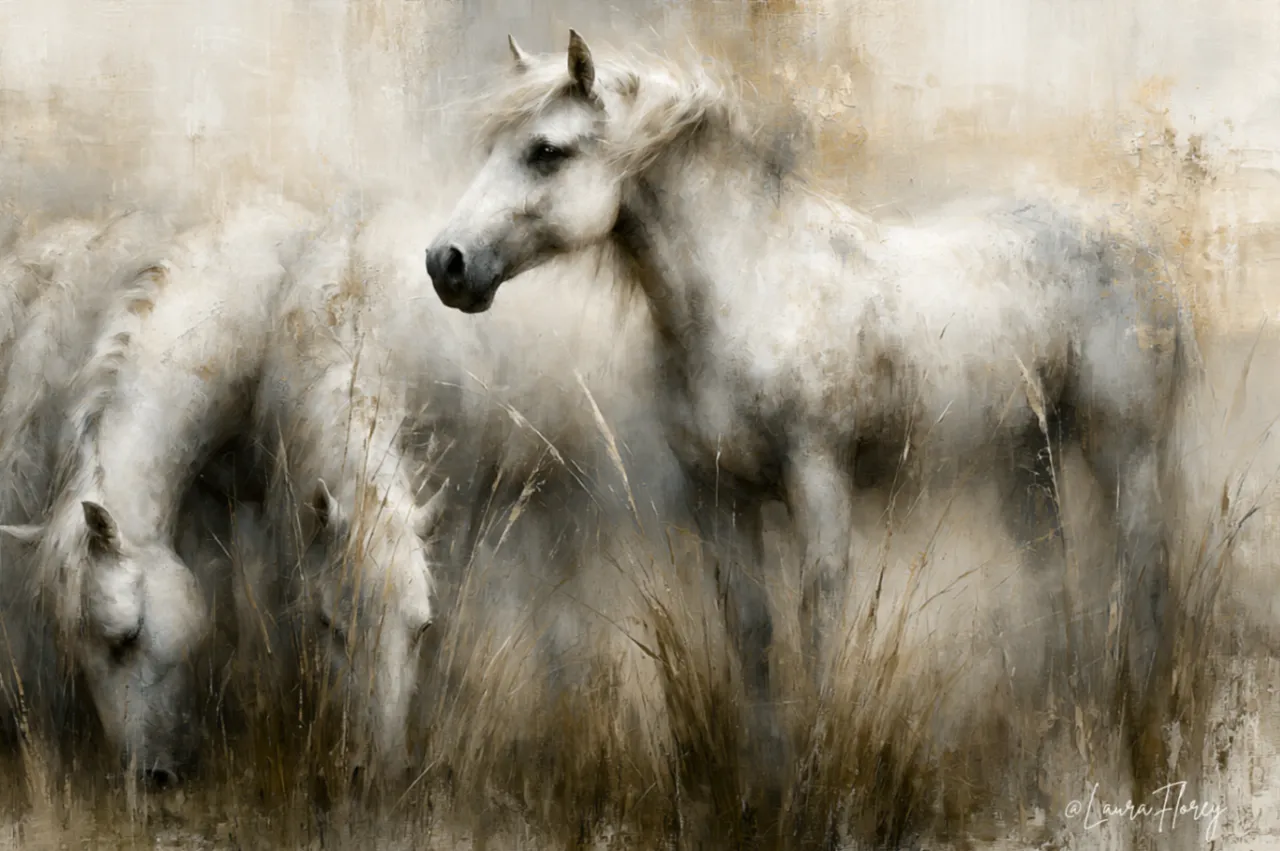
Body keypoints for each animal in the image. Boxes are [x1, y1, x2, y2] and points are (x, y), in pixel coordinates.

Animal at [422, 31, 1200, 807]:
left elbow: (818, 622)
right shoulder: (718, 495)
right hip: (1025, 462)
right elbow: (752, 628)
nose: (444, 263)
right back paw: (1057, 716)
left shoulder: (818, 479)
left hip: (1123, 451)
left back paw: (1138, 717)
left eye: (546, 151)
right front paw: (762, 778)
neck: (751, 285)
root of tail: (1144, 253)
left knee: (1143, 570)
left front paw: (818, 774)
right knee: (1052, 575)